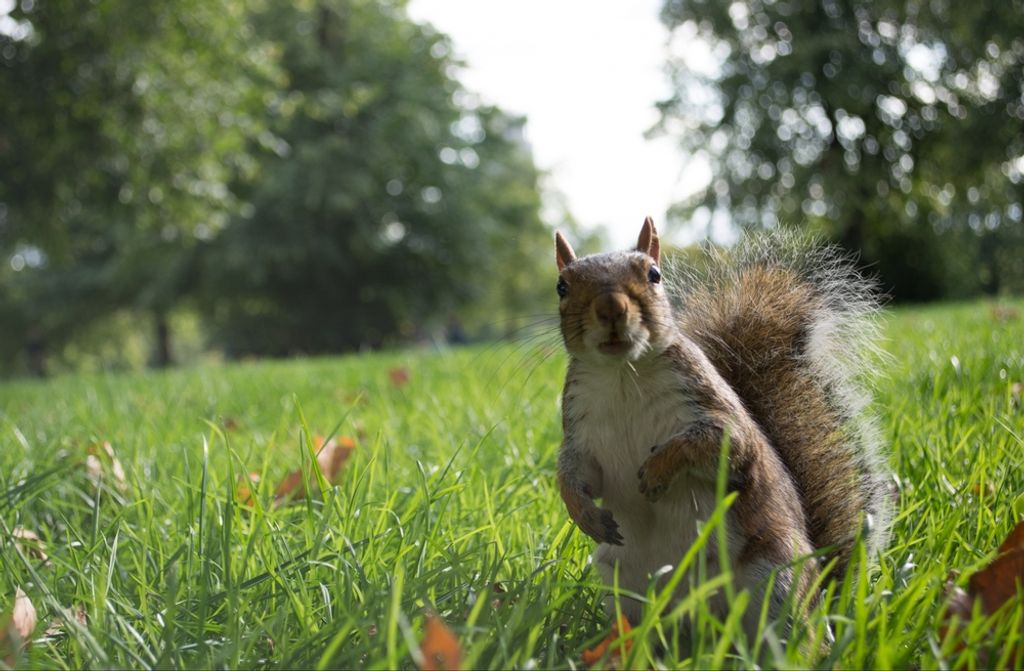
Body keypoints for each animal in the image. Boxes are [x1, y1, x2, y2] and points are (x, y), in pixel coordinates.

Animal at [554, 217, 891, 636]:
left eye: (654, 274)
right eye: (562, 286)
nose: (611, 307)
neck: (622, 376)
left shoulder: (713, 408)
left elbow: (724, 447)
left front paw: (658, 470)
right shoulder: (580, 433)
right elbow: (577, 475)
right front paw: (583, 512)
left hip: (777, 575)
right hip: (621, 582)